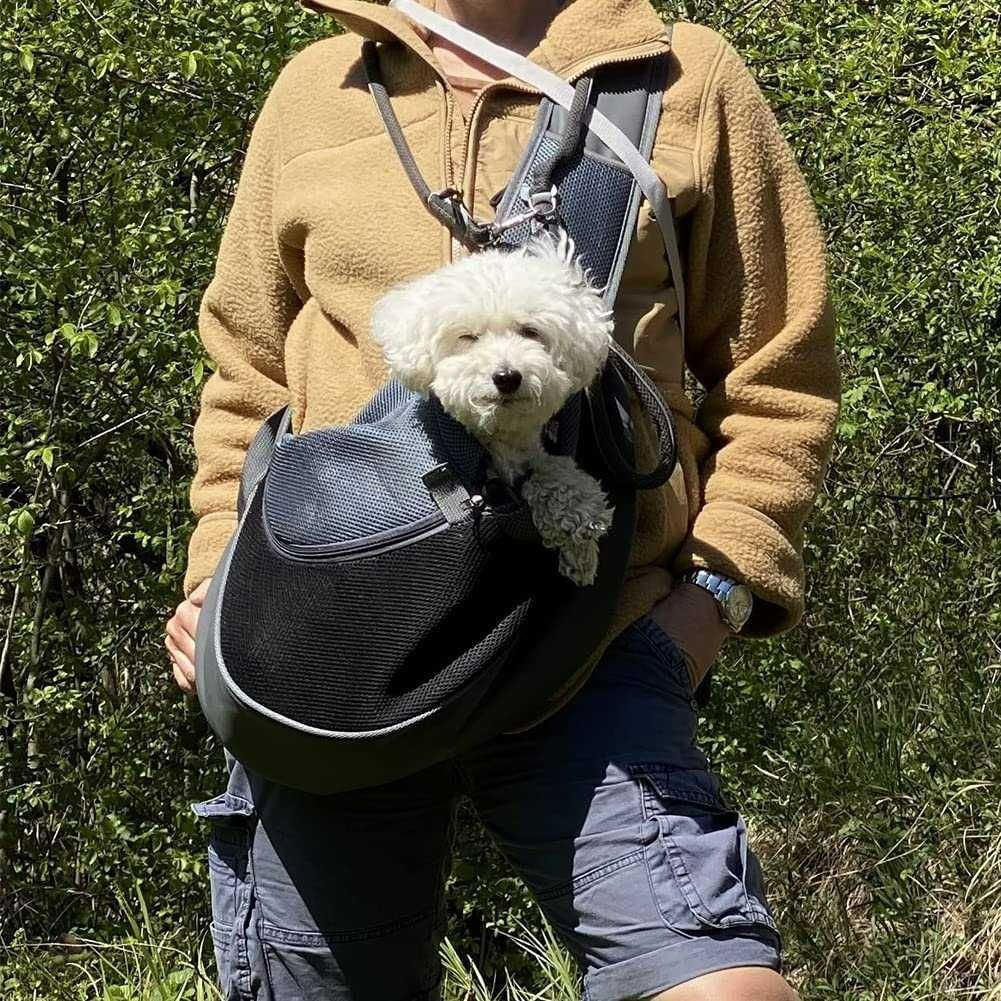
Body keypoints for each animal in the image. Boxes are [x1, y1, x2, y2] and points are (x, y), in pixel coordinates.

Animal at [372, 229, 612, 584]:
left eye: (530, 331)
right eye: (468, 337)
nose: (507, 376)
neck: (500, 437)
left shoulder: (534, 454)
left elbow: (551, 471)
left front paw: (580, 521)